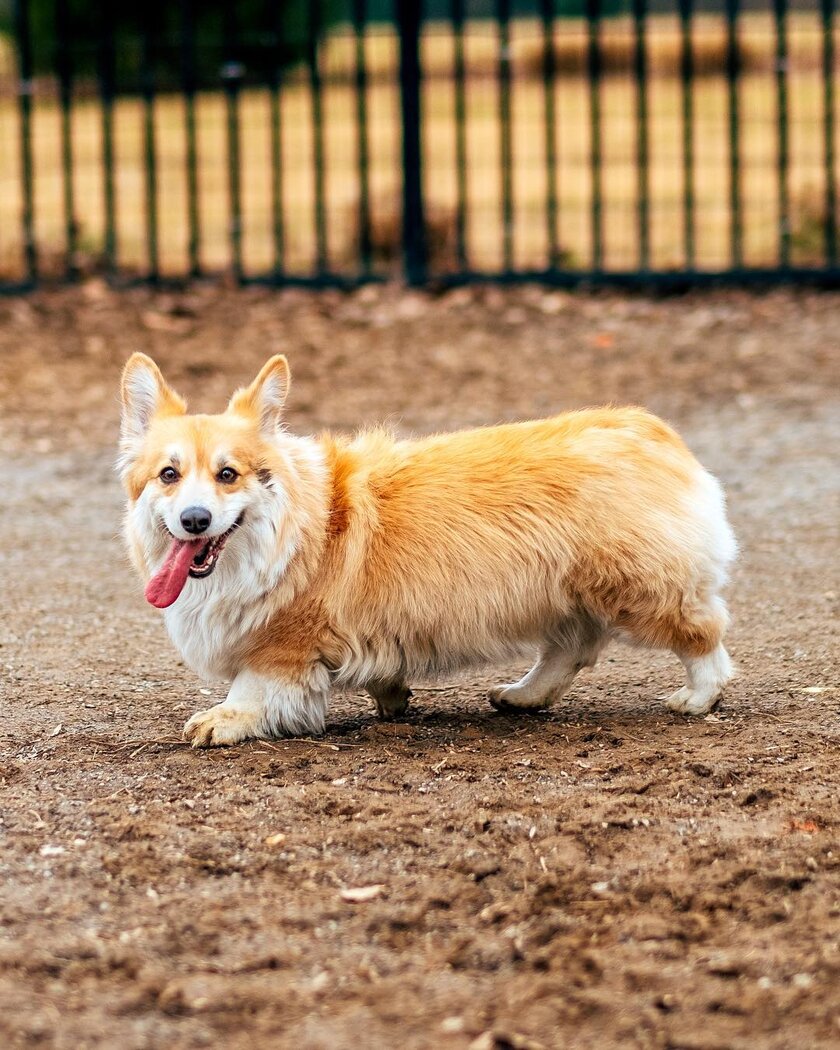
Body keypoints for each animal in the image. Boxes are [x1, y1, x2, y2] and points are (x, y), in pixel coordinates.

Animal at [116, 352, 734, 747]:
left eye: (228, 474)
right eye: (169, 475)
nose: (195, 520)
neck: (284, 532)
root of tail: (652, 430)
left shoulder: (285, 644)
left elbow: (253, 688)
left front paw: (223, 718)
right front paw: (392, 698)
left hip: (637, 589)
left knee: (703, 633)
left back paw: (697, 697)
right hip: (566, 593)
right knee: (571, 649)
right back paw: (522, 696)